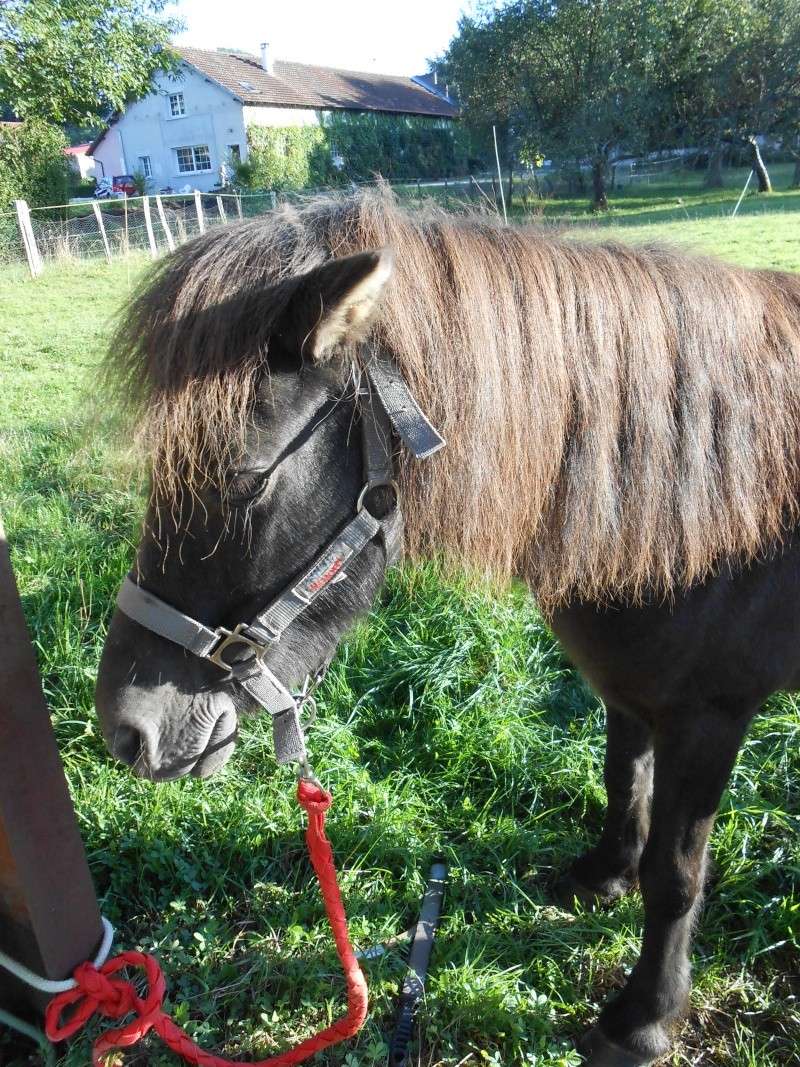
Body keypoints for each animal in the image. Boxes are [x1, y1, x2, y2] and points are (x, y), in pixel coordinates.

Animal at [95, 192, 800, 1067]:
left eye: (245, 479)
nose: (125, 730)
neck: (686, 486)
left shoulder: (708, 715)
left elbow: (675, 874)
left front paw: (643, 1017)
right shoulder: (629, 690)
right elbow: (620, 778)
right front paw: (603, 876)